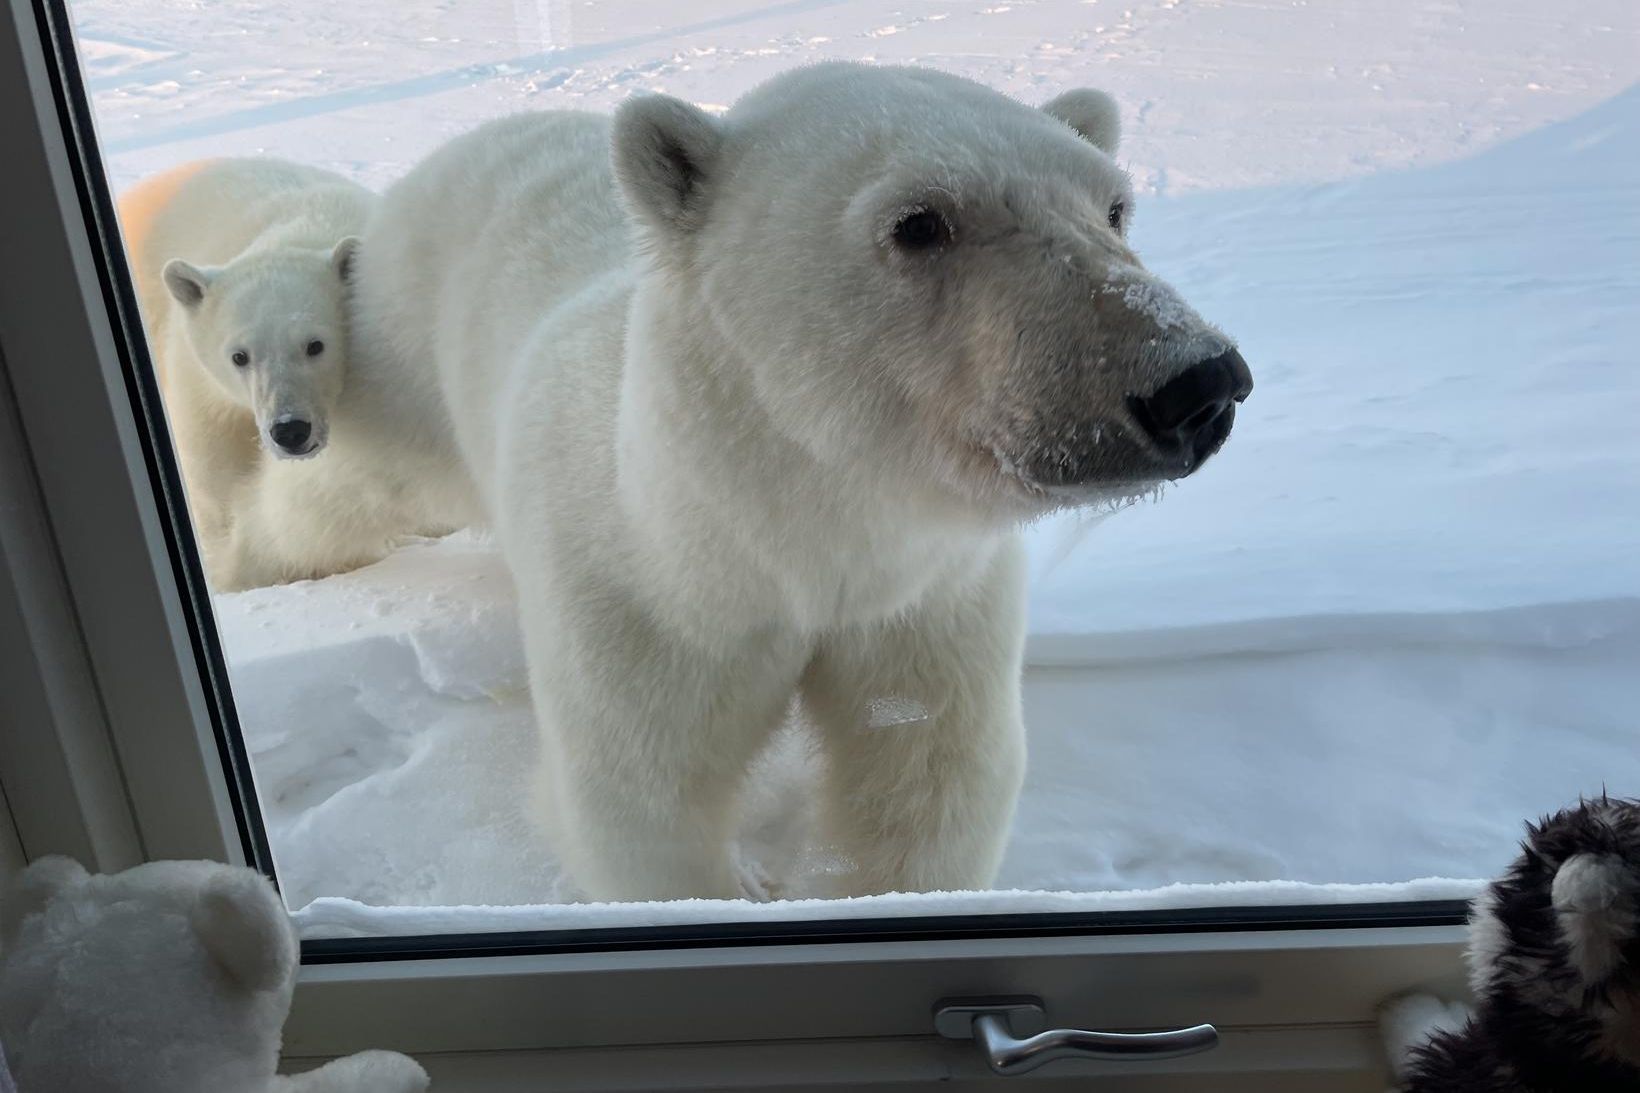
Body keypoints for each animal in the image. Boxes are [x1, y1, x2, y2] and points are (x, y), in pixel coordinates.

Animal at [124, 155, 472, 587]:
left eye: (315, 345)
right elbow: (212, 448)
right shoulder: (198, 372)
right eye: (239, 356)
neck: (307, 228)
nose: (290, 430)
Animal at [355, 64, 1252, 899]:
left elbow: (927, 781)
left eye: (1114, 206)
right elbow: (642, 798)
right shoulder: (649, 601)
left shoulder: (925, 602)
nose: (1197, 386)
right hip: (401, 350)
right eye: (919, 221)